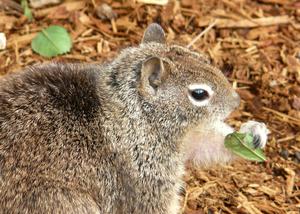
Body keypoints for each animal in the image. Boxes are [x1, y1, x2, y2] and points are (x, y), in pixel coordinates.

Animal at [0, 23, 268, 212]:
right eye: (199, 94)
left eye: (203, 58)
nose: (236, 101)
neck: (133, 113)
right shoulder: (146, 175)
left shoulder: (184, 138)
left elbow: (204, 142)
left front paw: (253, 133)